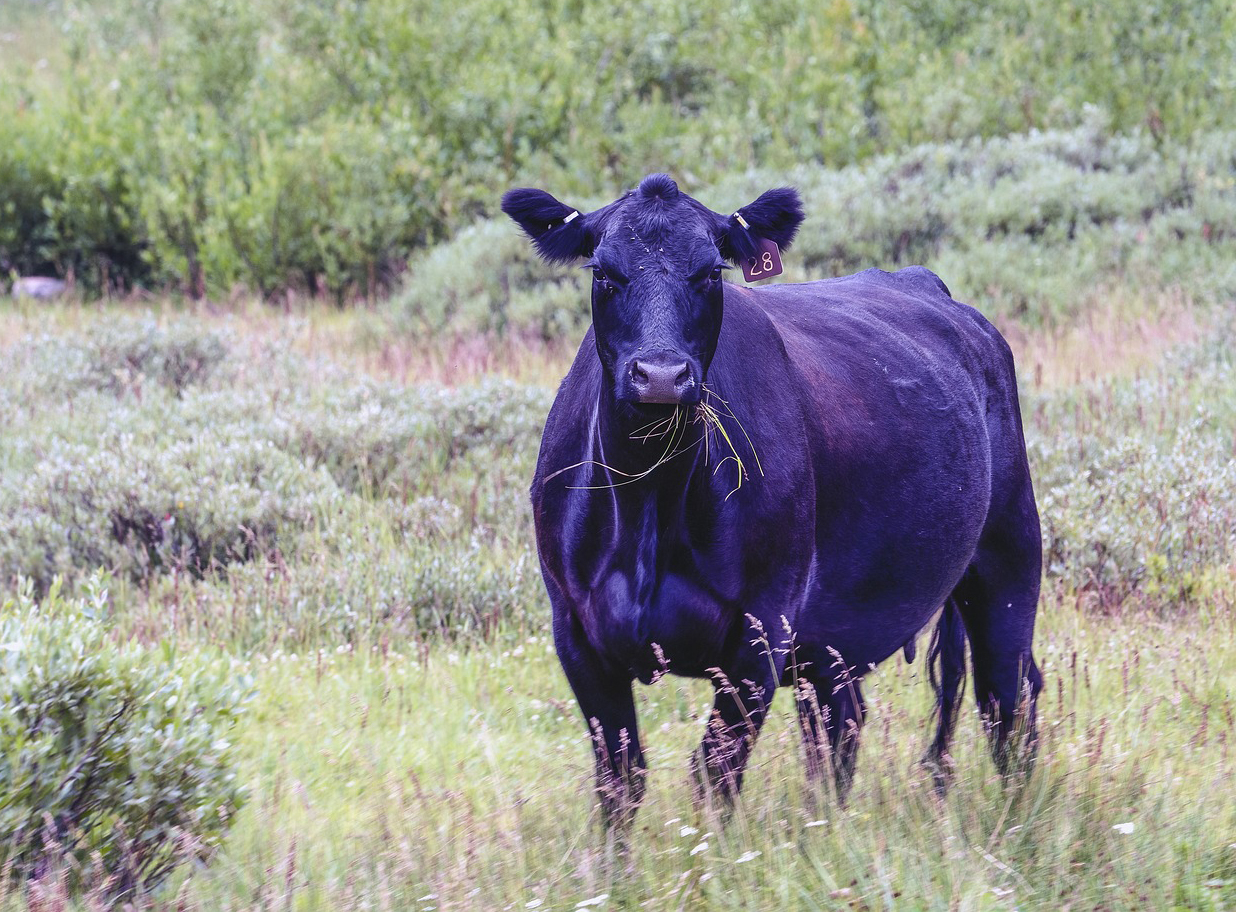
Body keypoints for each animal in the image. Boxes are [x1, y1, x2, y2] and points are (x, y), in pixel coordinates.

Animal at [501, 171, 1043, 825]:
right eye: (603, 272)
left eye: (710, 272)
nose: (660, 376)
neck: (649, 509)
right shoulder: (577, 635)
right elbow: (619, 780)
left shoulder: (760, 635)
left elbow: (714, 774)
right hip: (836, 635)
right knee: (840, 728)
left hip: (1008, 557)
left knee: (1007, 698)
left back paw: (1017, 825)